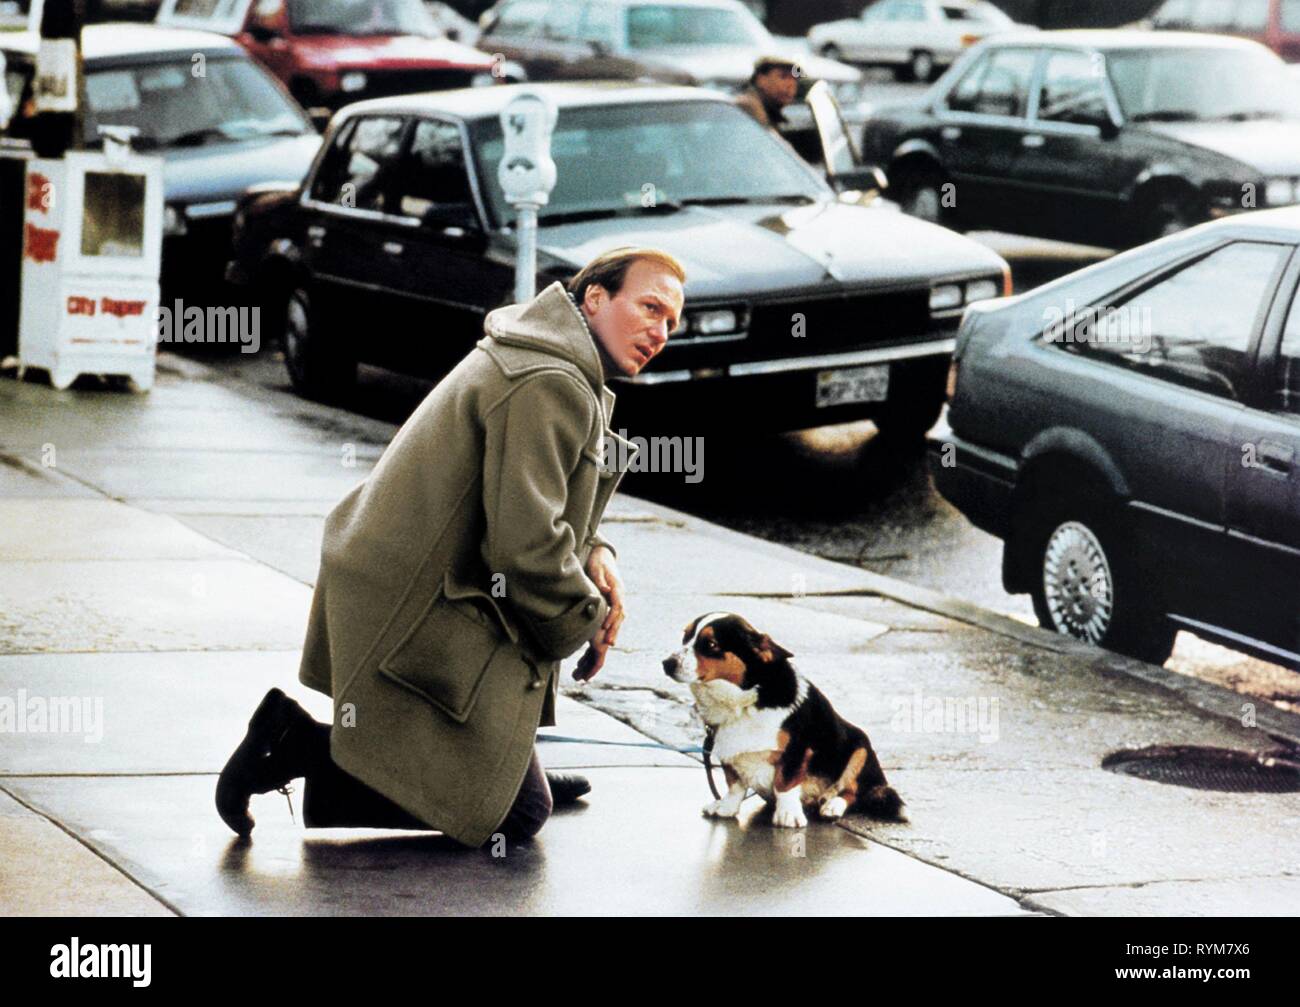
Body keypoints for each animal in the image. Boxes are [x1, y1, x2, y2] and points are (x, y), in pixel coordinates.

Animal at [660, 610, 904, 831]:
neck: (745, 701)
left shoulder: (796, 750)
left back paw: (832, 805)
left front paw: (787, 815)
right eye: (685, 637)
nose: (666, 663)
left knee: (853, 791)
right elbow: (735, 785)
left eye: (710, 644)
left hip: (860, 748)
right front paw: (726, 808)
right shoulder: (727, 752)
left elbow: (785, 784)